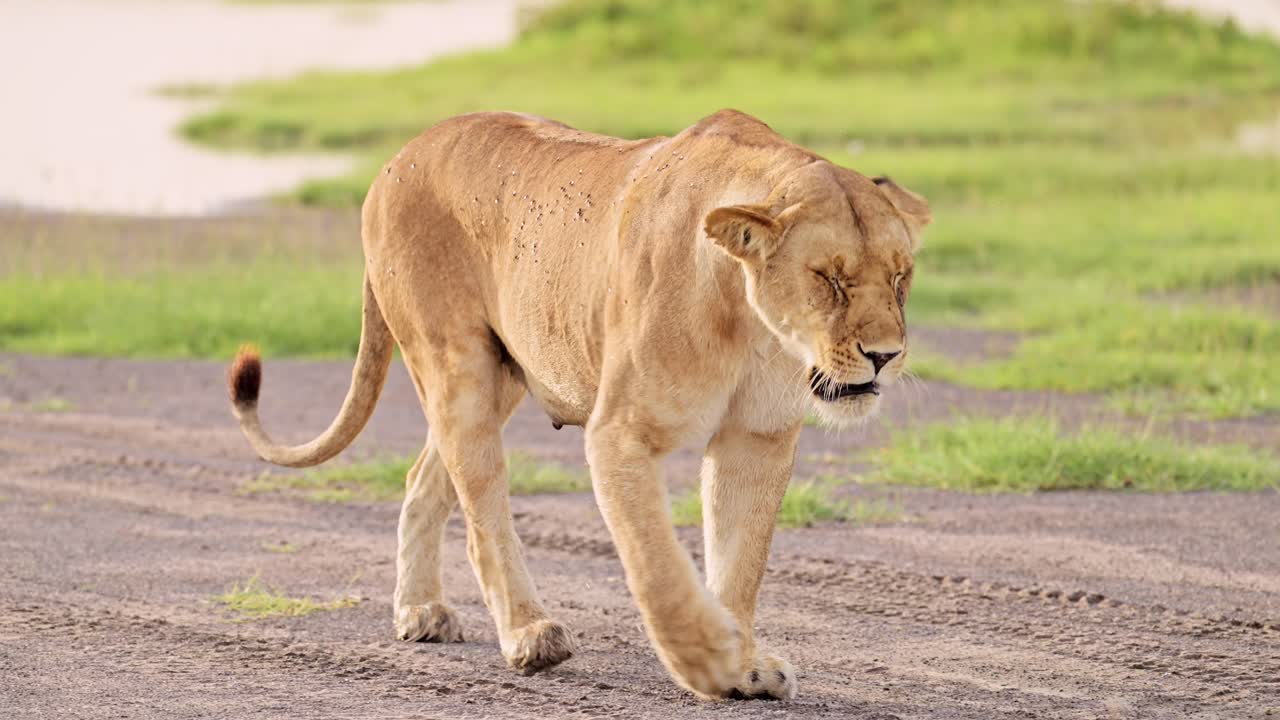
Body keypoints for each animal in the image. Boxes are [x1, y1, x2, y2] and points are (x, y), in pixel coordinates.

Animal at [227, 109, 929, 701]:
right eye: (829, 279)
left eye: (901, 277)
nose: (885, 355)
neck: (749, 322)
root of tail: (397, 157)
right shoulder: (619, 434)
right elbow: (659, 568)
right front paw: (708, 660)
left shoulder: (758, 439)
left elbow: (740, 560)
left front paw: (745, 666)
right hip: (457, 366)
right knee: (481, 513)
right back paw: (529, 636)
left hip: (505, 373)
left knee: (424, 478)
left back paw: (420, 610)